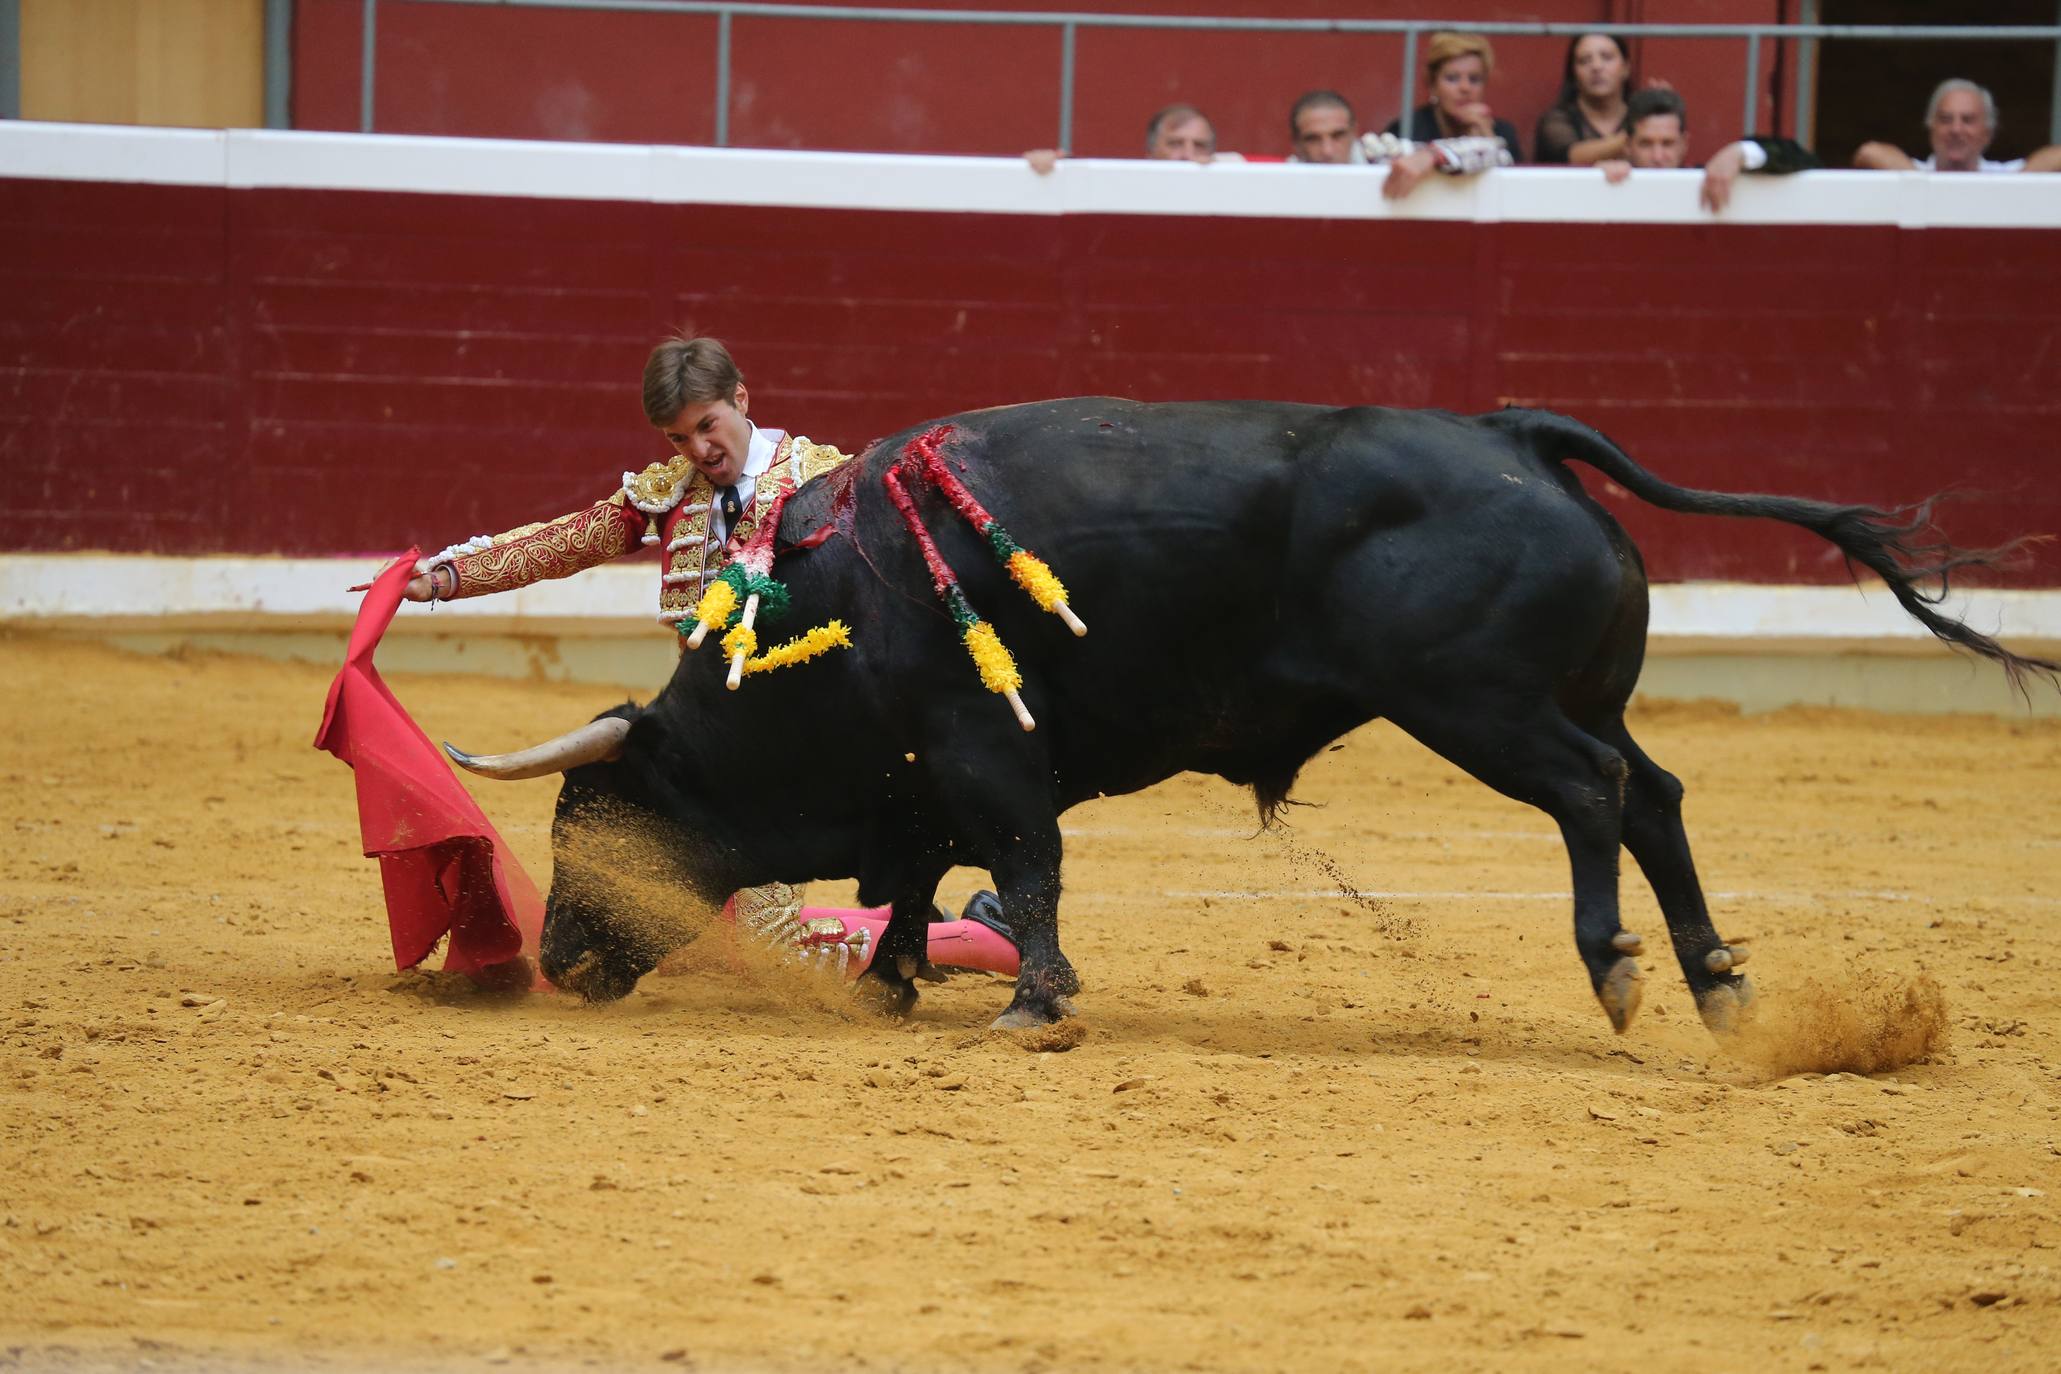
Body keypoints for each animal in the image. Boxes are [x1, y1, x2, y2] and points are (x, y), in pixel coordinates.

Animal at [443, 403, 2052, 1038]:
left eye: (590, 817)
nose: (554, 958)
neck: (822, 607)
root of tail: (1514, 433)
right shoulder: (928, 774)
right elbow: (920, 881)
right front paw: (893, 983)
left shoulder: (982, 749)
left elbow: (1019, 862)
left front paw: (1032, 1002)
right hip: (1558, 695)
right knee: (1652, 792)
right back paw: (1717, 982)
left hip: (1476, 706)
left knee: (1596, 796)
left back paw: (1617, 971)